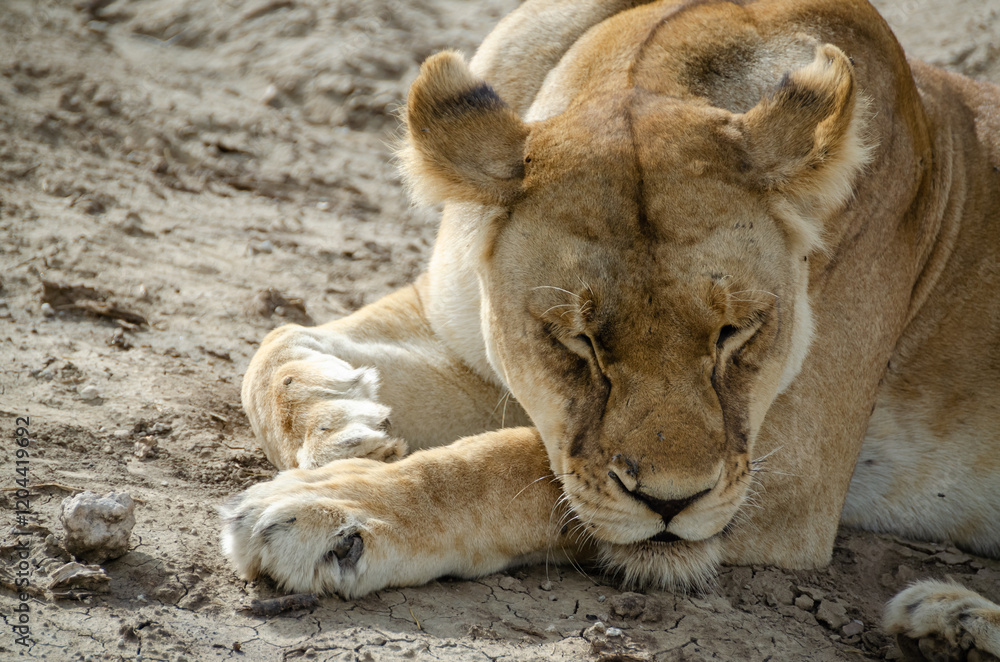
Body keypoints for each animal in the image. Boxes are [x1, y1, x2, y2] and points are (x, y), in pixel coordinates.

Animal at [221, 0, 1000, 658]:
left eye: (735, 333)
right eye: (578, 341)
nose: (671, 503)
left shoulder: (800, 469)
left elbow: (512, 466)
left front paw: (327, 509)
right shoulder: (459, 340)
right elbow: (273, 347)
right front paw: (341, 426)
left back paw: (953, 618)